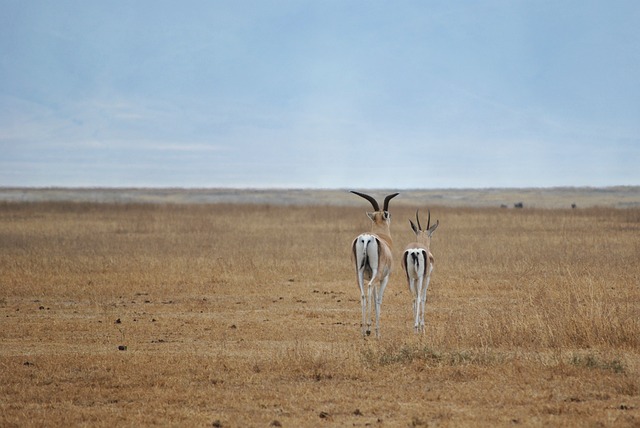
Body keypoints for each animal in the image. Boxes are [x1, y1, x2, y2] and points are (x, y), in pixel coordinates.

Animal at [352, 191, 398, 338]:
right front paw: (377, 332)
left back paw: (363, 331)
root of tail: (366, 237)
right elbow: (378, 300)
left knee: (362, 295)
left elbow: (372, 296)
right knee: (370, 288)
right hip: (376, 275)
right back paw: (368, 329)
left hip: (359, 274)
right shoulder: (384, 278)